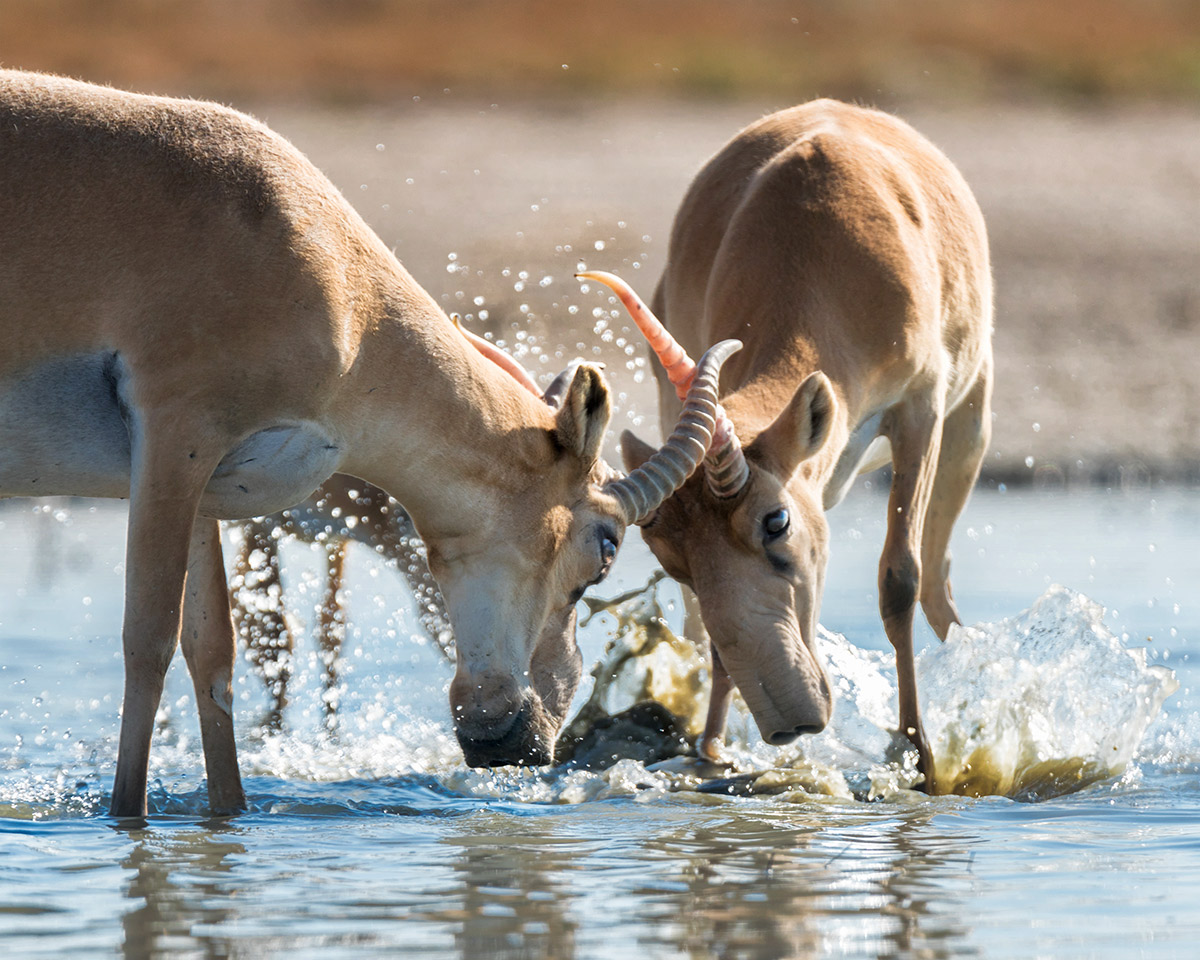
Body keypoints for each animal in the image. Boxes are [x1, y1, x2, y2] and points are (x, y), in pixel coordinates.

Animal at [0, 71, 739, 816]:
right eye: (606, 550)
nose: (526, 738)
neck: (331, 272)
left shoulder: (208, 486)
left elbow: (213, 649)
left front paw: (230, 815)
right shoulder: (173, 441)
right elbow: (147, 640)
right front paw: (126, 818)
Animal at [580, 97, 993, 792]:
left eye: (776, 521)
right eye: (669, 556)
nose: (788, 720)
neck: (813, 243)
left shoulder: (921, 409)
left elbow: (899, 579)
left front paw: (919, 761)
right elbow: (706, 624)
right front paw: (710, 754)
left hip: (971, 425)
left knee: (937, 577)